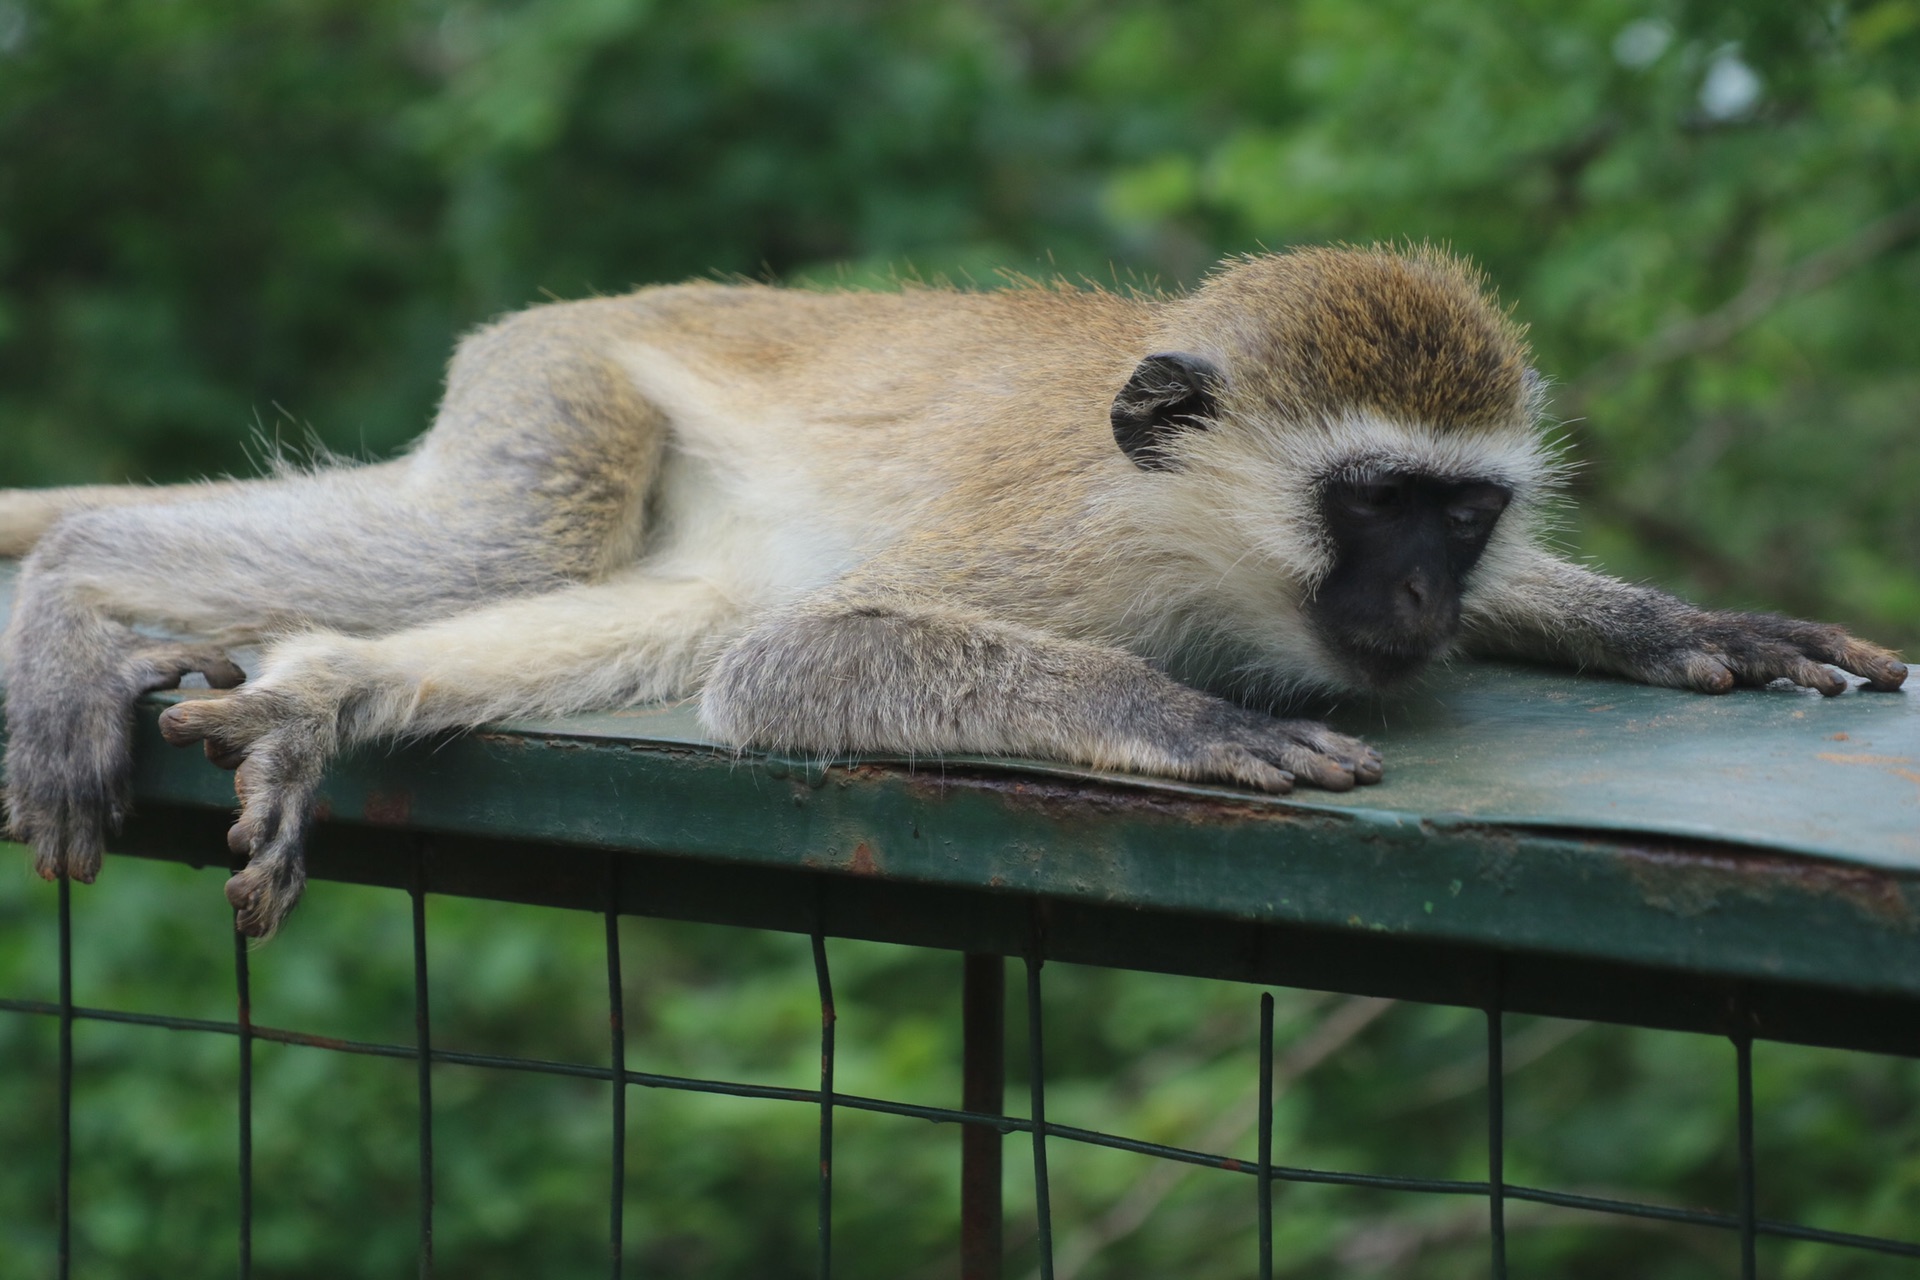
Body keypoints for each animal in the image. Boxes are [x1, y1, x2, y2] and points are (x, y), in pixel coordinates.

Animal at [0, 249, 1904, 936]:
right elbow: (796, 662)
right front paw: (1186, 724)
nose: (1427, 601)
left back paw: (317, 689)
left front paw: (1687, 628)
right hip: (563, 387)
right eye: (1374, 503)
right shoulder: (1063, 545)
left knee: (654, 608)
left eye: (1466, 511)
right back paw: (80, 608)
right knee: (508, 547)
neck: (1199, 541)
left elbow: (759, 652)